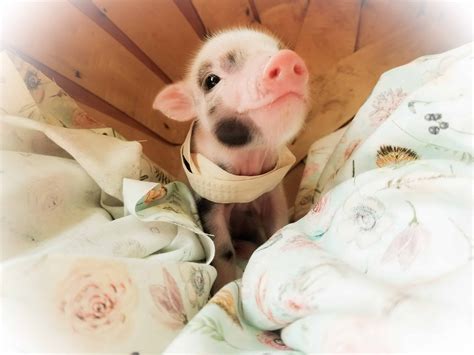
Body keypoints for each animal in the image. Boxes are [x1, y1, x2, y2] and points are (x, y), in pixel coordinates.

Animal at [153, 29, 312, 294]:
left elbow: (278, 225)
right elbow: (222, 251)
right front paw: (223, 288)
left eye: (278, 48)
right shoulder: (208, 204)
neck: (248, 164)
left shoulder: (272, 191)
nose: (286, 59)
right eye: (211, 81)